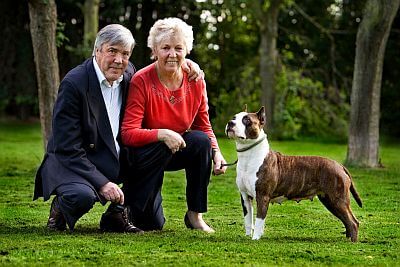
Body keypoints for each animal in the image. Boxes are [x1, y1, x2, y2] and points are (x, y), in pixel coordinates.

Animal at [225, 107, 362, 243]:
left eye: (247, 120)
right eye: (234, 117)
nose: (230, 123)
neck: (248, 156)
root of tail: (339, 165)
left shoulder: (262, 196)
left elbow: (259, 219)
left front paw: (255, 239)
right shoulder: (245, 197)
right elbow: (248, 219)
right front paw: (248, 236)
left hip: (338, 199)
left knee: (353, 222)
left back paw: (352, 242)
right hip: (329, 200)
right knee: (346, 220)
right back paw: (348, 239)